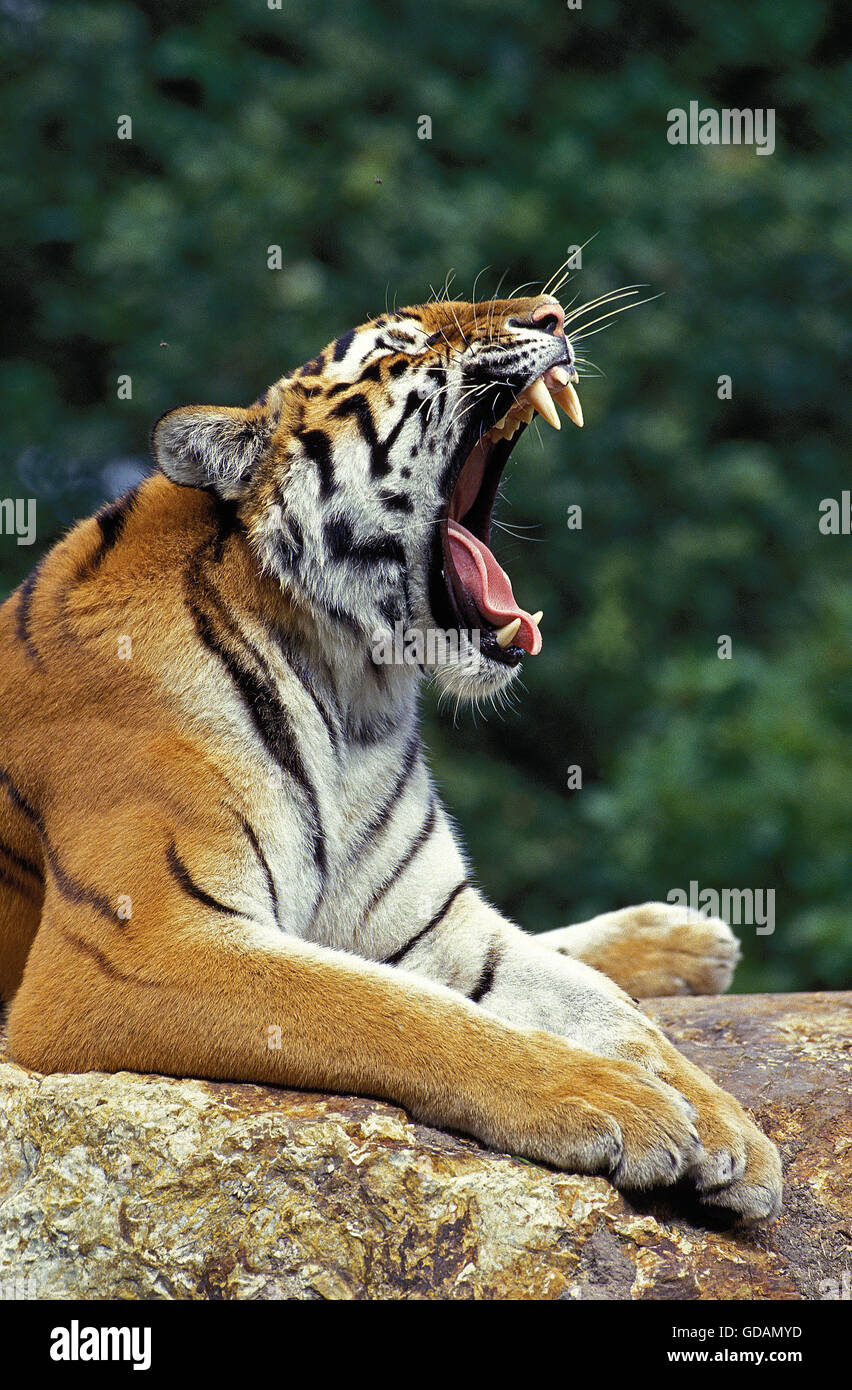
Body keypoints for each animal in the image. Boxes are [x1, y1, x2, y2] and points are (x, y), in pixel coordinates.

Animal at [0, 290, 781, 1222]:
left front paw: (728, 1127)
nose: (553, 312)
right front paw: (617, 1103)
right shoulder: (138, 944)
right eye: (401, 349)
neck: (352, 693)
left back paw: (683, 940)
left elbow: (600, 1005)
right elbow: (396, 1010)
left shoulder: (428, 917)